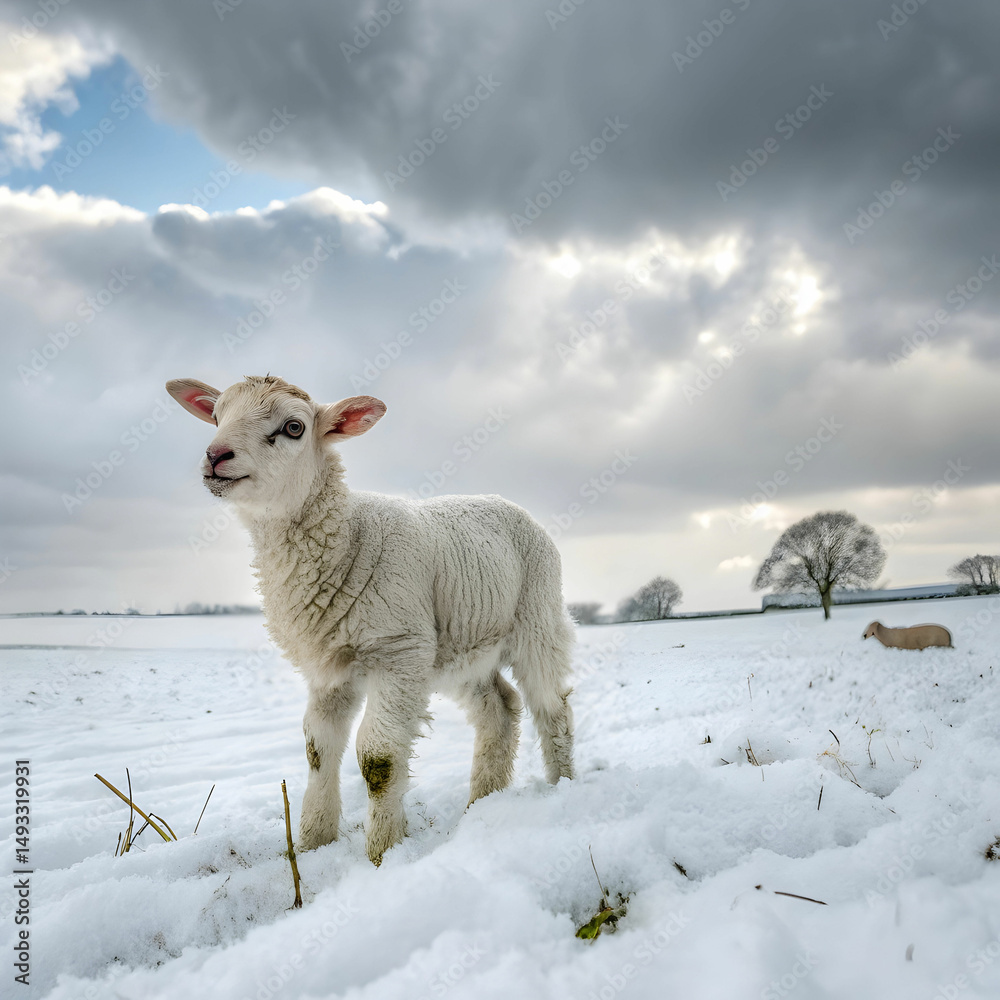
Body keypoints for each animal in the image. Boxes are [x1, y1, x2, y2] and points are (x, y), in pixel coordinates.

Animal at [165, 374, 575, 865]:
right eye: (216, 416)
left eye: (294, 427)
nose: (216, 456)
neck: (346, 536)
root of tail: (503, 500)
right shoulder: (328, 668)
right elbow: (317, 750)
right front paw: (312, 843)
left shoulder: (399, 651)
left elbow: (378, 760)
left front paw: (383, 853)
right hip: (459, 646)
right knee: (500, 709)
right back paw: (482, 803)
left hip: (537, 617)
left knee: (553, 708)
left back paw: (563, 787)